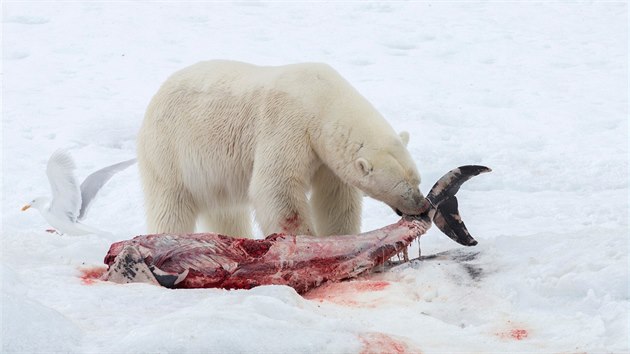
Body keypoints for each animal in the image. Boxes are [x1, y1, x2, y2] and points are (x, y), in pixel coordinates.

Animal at [137, 60, 424, 238]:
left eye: (417, 180)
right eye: (402, 188)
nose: (422, 204)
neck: (321, 98)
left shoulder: (324, 157)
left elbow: (335, 197)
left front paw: (342, 236)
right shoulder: (288, 125)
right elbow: (277, 186)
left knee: (227, 212)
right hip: (170, 151)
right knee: (171, 206)